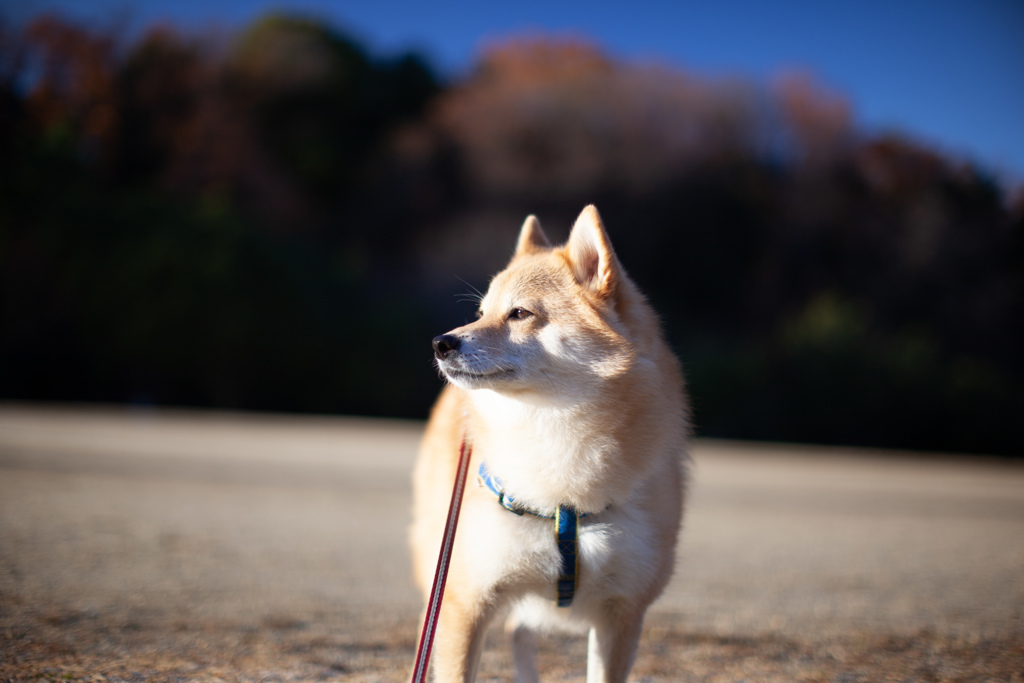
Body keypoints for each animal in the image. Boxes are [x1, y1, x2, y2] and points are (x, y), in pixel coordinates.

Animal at [411, 205, 692, 679]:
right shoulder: (465, 601)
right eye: (481, 312)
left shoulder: (622, 613)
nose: (440, 343)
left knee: (519, 631)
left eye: (519, 313)